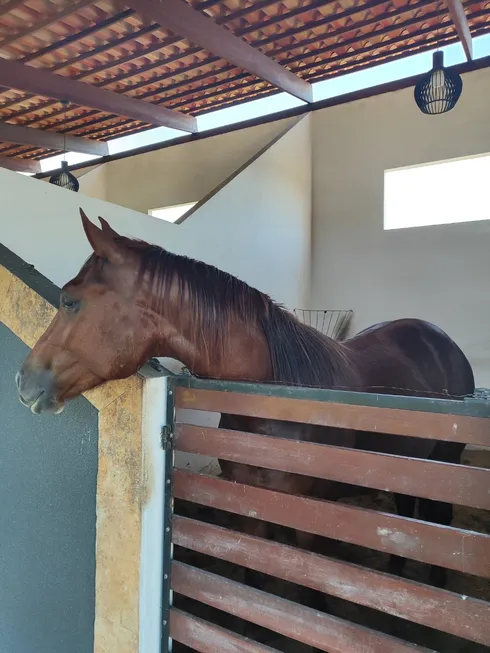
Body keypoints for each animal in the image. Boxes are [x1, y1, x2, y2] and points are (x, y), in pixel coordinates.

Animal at [17, 210, 472, 592]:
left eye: (70, 300)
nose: (23, 381)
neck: (276, 402)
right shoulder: (251, 511)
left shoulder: (311, 521)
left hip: (446, 461)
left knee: (439, 519)